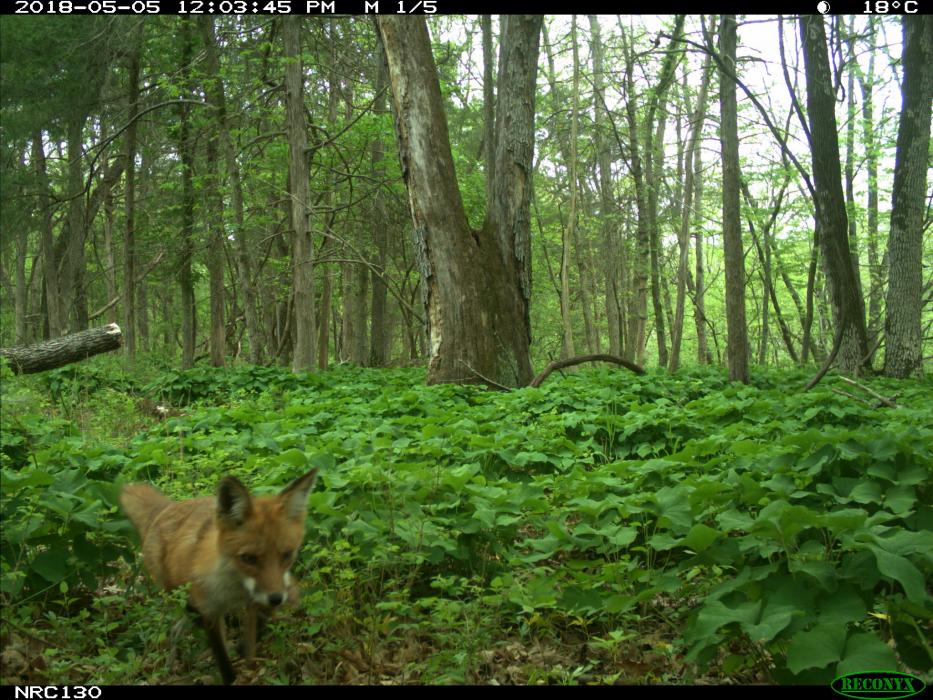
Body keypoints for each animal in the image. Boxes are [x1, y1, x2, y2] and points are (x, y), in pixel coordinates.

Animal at [120, 470, 318, 684]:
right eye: (249, 558)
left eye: (286, 555)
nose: (276, 599)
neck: (236, 587)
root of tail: (166, 508)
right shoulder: (211, 614)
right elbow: (223, 661)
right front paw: (233, 673)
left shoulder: (272, 591)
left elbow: (260, 622)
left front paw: (244, 649)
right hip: (177, 594)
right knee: (182, 621)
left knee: (177, 628)